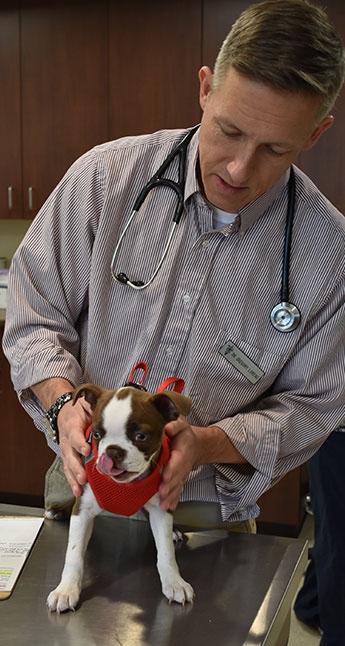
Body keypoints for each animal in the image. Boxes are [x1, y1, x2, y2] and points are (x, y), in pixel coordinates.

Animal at [46, 384, 194, 616]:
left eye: (141, 436)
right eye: (96, 434)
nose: (113, 451)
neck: (124, 486)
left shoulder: (161, 507)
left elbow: (166, 553)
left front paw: (174, 581)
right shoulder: (83, 508)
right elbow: (74, 553)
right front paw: (66, 589)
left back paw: (174, 531)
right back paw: (58, 509)